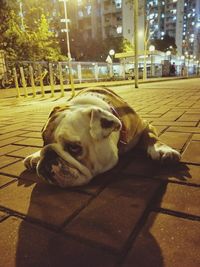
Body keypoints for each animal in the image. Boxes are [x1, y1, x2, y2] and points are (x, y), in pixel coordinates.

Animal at [24, 88, 180, 188]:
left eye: (74, 147)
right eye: (44, 140)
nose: (48, 154)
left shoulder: (144, 125)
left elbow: (151, 136)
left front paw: (162, 149)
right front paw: (38, 154)